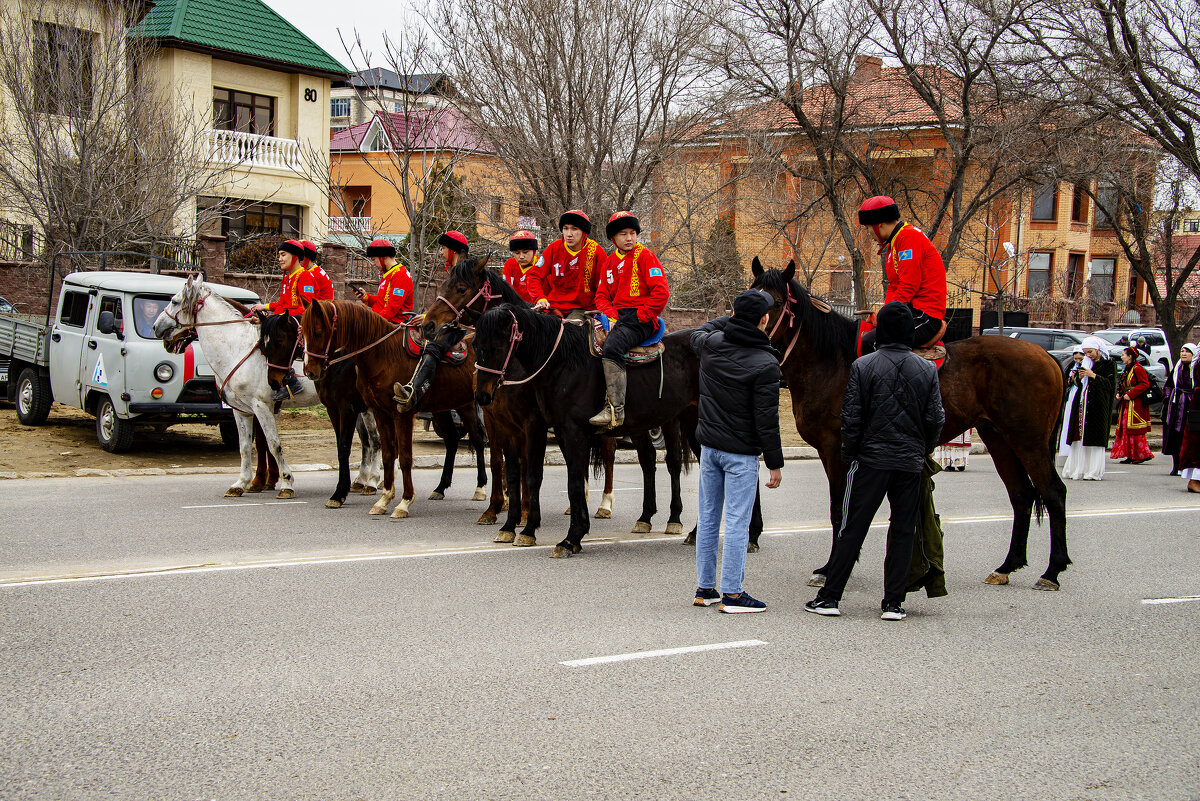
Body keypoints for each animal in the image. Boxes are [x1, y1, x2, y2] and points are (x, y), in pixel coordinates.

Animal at [152, 278, 379, 496]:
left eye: (174, 301)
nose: (156, 327)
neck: (237, 347)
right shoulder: (241, 410)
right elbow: (245, 447)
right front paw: (242, 483)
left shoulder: (262, 406)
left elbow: (272, 444)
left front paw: (285, 482)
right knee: (367, 441)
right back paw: (361, 480)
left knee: (374, 439)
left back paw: (372, 481)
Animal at [468, 303, 696, 561]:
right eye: (474, 344)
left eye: (497, 346)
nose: (482, 395)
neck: (562, 363)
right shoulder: (528, 429)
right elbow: (537, 477)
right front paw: (515, 528)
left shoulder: (553, 429)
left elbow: (555, 479)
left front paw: (559, 536)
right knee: (649, 460)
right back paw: (653, 521)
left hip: (676, 422)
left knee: (675, 463)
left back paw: (675, 521)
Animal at [748, 260, 1070, 592]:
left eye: (776, 302)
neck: (830, 362)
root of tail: (1046, 355)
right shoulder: (832, 453)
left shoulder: (836, 450)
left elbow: (840, 510)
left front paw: (830, 569)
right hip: (999, 438)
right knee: (1022, 495)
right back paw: (1008, 565)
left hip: (1028, 440)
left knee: (1053, 492)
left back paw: (1052, 571)